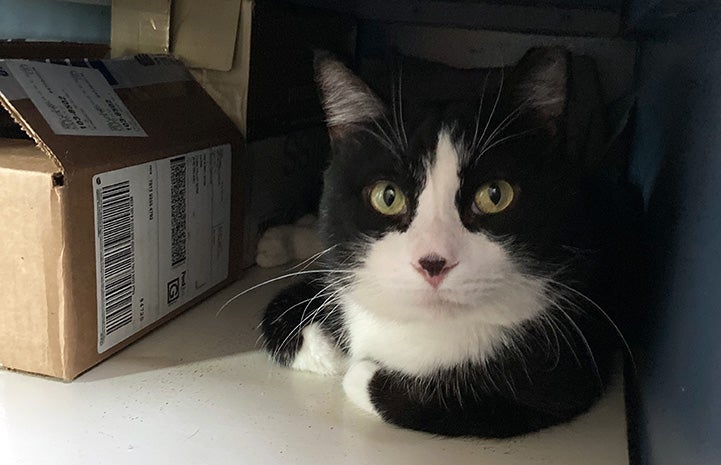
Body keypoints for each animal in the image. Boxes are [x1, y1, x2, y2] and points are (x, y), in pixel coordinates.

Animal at [258, 49, 636, 436]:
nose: (433, 263)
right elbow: (282, 311)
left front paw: (356, 368)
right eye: (387, 196)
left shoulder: (561, 368)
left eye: (495, 195)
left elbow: (447, 397)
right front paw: (333, 347)